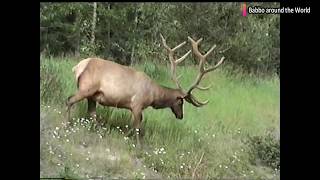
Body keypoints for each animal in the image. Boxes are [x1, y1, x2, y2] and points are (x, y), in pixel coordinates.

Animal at [65, 34, 225, 146]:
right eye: (181, 102)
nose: (181, 116)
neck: (153, 95)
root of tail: (77, 67)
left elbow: (134, 126)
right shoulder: (137, 104)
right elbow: (137, 127)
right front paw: (138, 145)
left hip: (92, 96)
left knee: (91, 113)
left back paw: (97, 131)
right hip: (86, 88)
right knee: (70, 100)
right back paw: (67, 124)